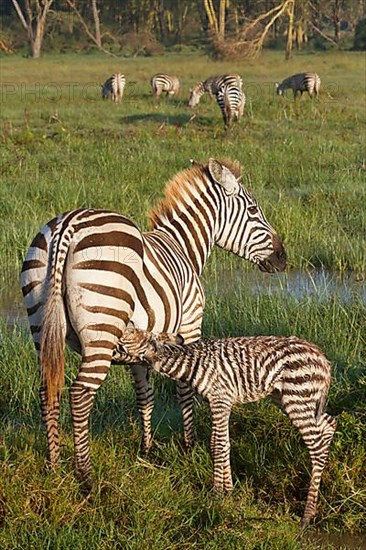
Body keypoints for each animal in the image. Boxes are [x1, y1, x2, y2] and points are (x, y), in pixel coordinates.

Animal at [21, 158, 288, 488]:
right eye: (253, 210)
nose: (283, 258)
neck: (183, 248)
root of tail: (67, 225)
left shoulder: (141, 344)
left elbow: (144, 395)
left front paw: (146, 448)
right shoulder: (189, 326)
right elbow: (185, 388)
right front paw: (189, 446)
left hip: (40, 325)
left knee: (48, 390)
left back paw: (54, 465)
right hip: (100, 331)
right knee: (80, 394)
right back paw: (85, 475)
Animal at [121, 330, 338, 528]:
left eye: (122, 344)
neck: (191, 364)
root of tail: (323, 358)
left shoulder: (220, 399)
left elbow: (217, 445)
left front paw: (216, 495)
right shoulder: (220, 402)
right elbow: (223, 444)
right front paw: (228, 492)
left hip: (297, 398)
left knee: (316, 447)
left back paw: (308, 514)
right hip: (290, 399)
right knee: (329, 424)